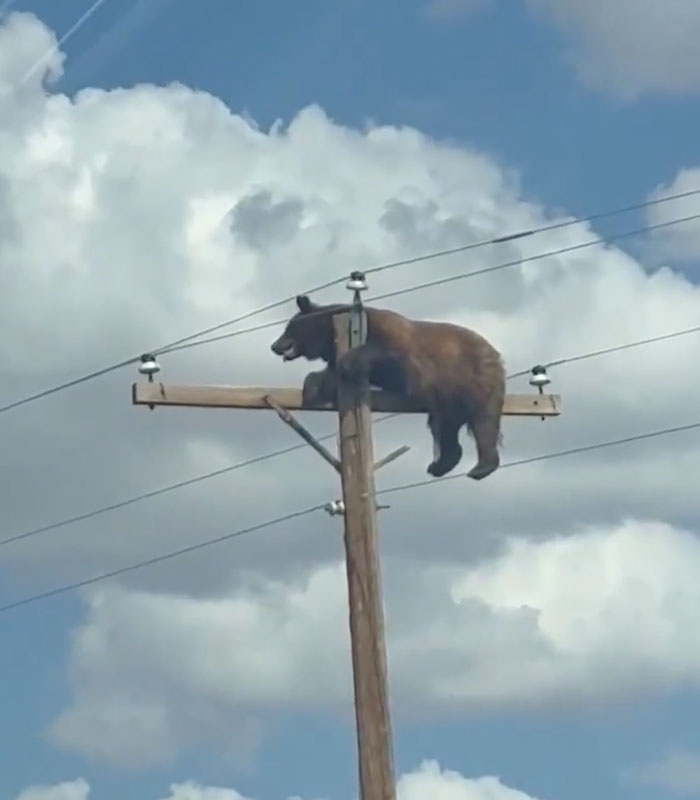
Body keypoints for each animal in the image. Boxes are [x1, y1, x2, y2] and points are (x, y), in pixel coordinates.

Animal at [270, 295, 506, 480]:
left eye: (288, 327)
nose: (274, 345)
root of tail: (495, 352)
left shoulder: (397, 344)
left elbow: (384, 355)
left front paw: (347, 364)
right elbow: (330, 374)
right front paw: (312, 387)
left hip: (475, 377)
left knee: (484, 420)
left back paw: (481, 467)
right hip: (448, 397)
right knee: (446, 427)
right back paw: (439, 465)